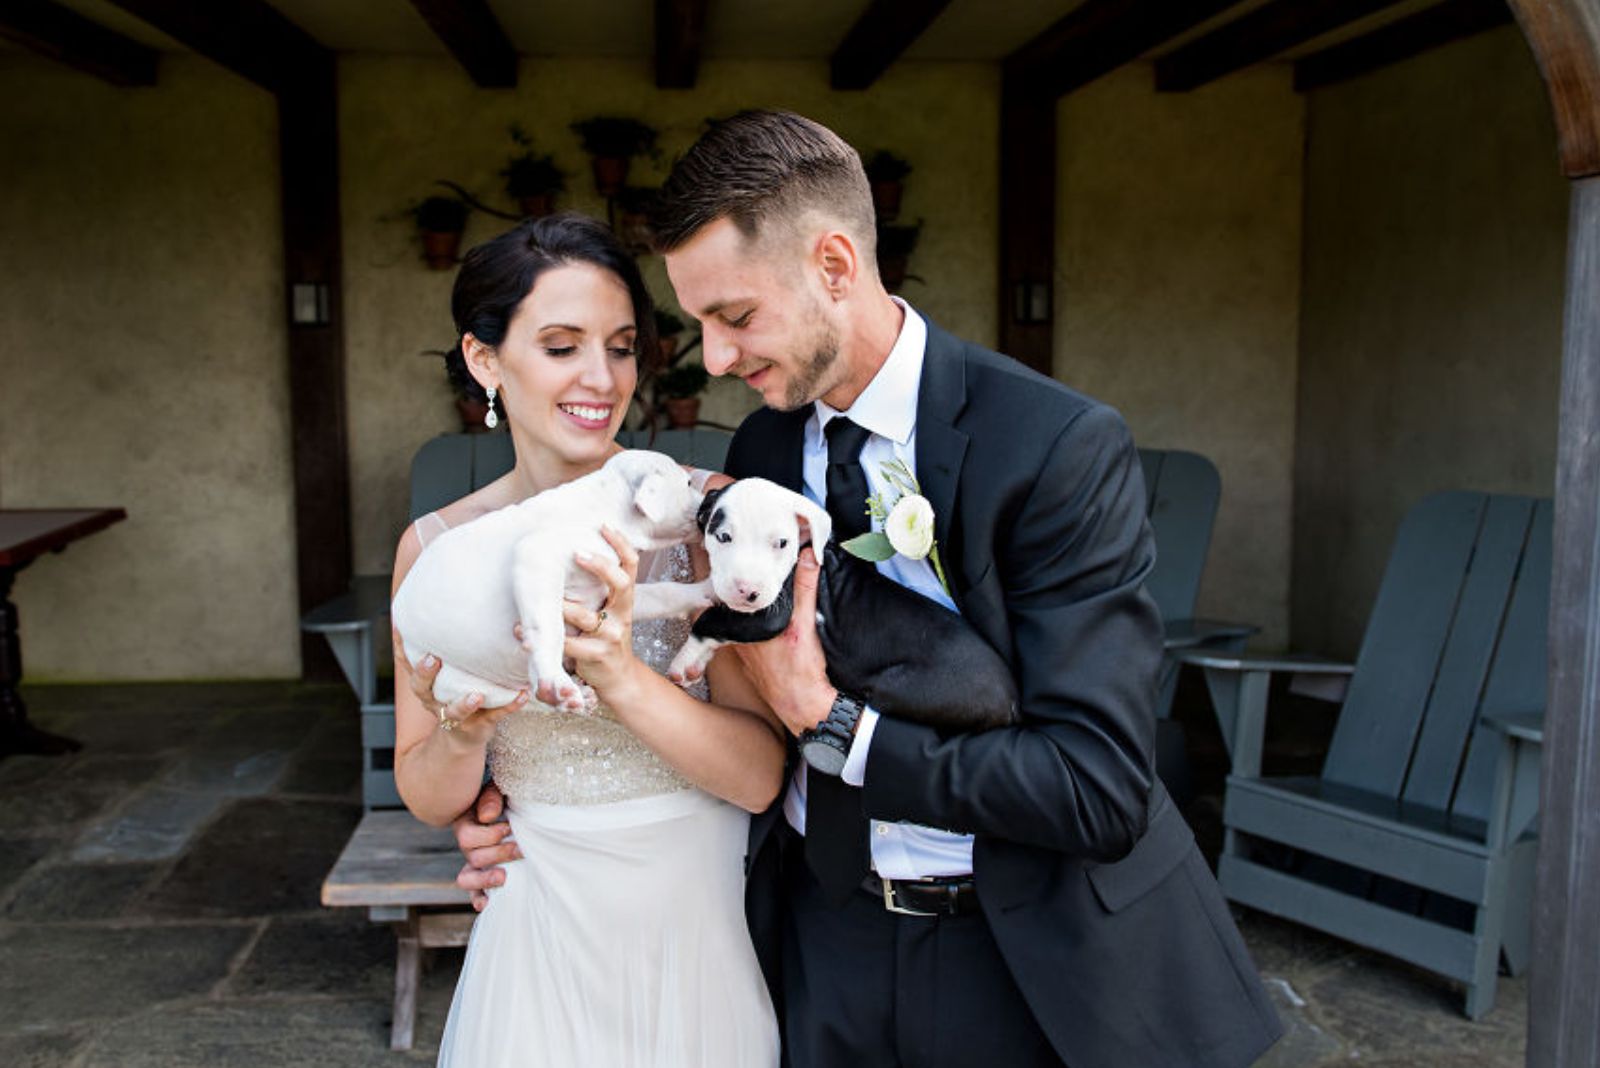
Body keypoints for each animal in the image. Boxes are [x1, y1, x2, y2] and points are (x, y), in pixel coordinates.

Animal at [390, 447, 710, 713]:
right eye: (688, 484)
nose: (711, 497)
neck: (607, 505)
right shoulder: (538, 556)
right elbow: (550, 627)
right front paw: (554, 681)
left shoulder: (607, 592)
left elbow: (664, 593)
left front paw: (706, 592)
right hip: (457, 681)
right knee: (522, 697)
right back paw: (563, 695)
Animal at [668, 476, 1017, 735]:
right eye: (723, 537)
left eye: (781, 543)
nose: (748, 591)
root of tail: (1012, 702)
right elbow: (712, 604)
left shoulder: (770, 615)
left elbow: (710, 619)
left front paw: (683, 661)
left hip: (898, 686)